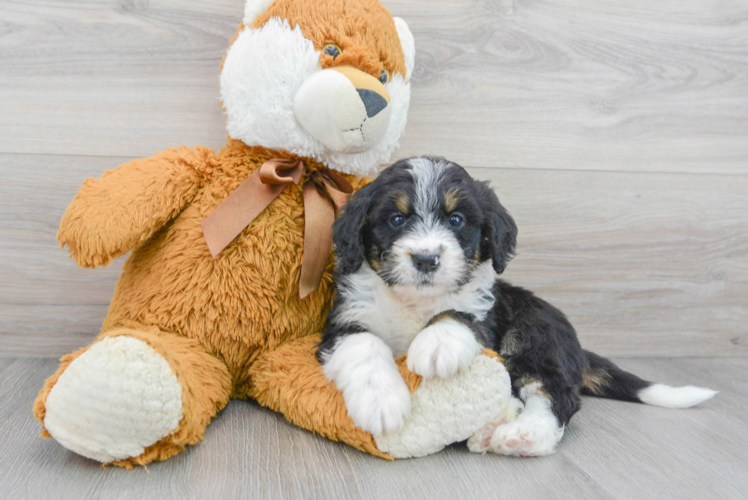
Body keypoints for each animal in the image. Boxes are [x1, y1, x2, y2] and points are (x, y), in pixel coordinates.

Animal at [318, 156, 720, 458]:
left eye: (456, 220)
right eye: (397, 219)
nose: (427, 259)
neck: (416, 301)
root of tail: (575, 346)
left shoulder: (486, 314)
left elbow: (459, 314)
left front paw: (437, 344)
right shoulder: (345, 321)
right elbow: (364, 346)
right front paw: (380, 401)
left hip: (533, 336)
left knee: (554, 394)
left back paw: (523, 435)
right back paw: (490, 428)